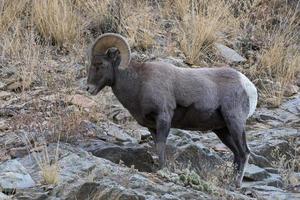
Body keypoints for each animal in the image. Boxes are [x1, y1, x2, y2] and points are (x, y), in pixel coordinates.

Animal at [85, 32, 256, 188]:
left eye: (99, 63)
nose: (88, 88)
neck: (138, 83)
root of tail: (247, 85)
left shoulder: (163, 118)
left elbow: (161, 146)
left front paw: (162, 170)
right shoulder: (152, 126)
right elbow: (157, 146)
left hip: (235, 123)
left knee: (244, 152)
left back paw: (236, 184)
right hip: (222, 130)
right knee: (236, 153)